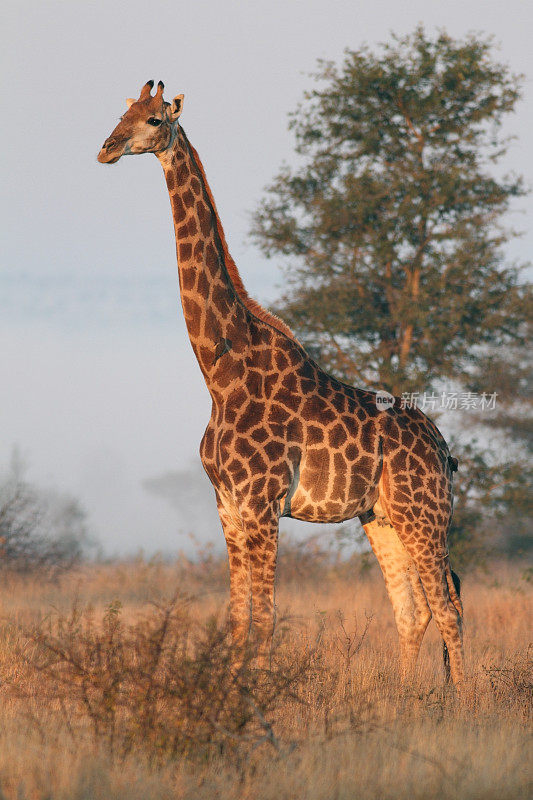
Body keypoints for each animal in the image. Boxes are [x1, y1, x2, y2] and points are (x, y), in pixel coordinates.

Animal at [97, 79, 464, 680]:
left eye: (153, 120)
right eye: (120, 113)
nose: (106, 148)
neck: (220, 374)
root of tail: (443, 448)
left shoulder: (264, 503)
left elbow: (264, 624)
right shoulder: (227, 506)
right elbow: (236, 624)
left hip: (423, 514)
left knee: (448, 607)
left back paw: (462, 702)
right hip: (381, 517)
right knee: (414, 612)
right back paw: (413, 702)